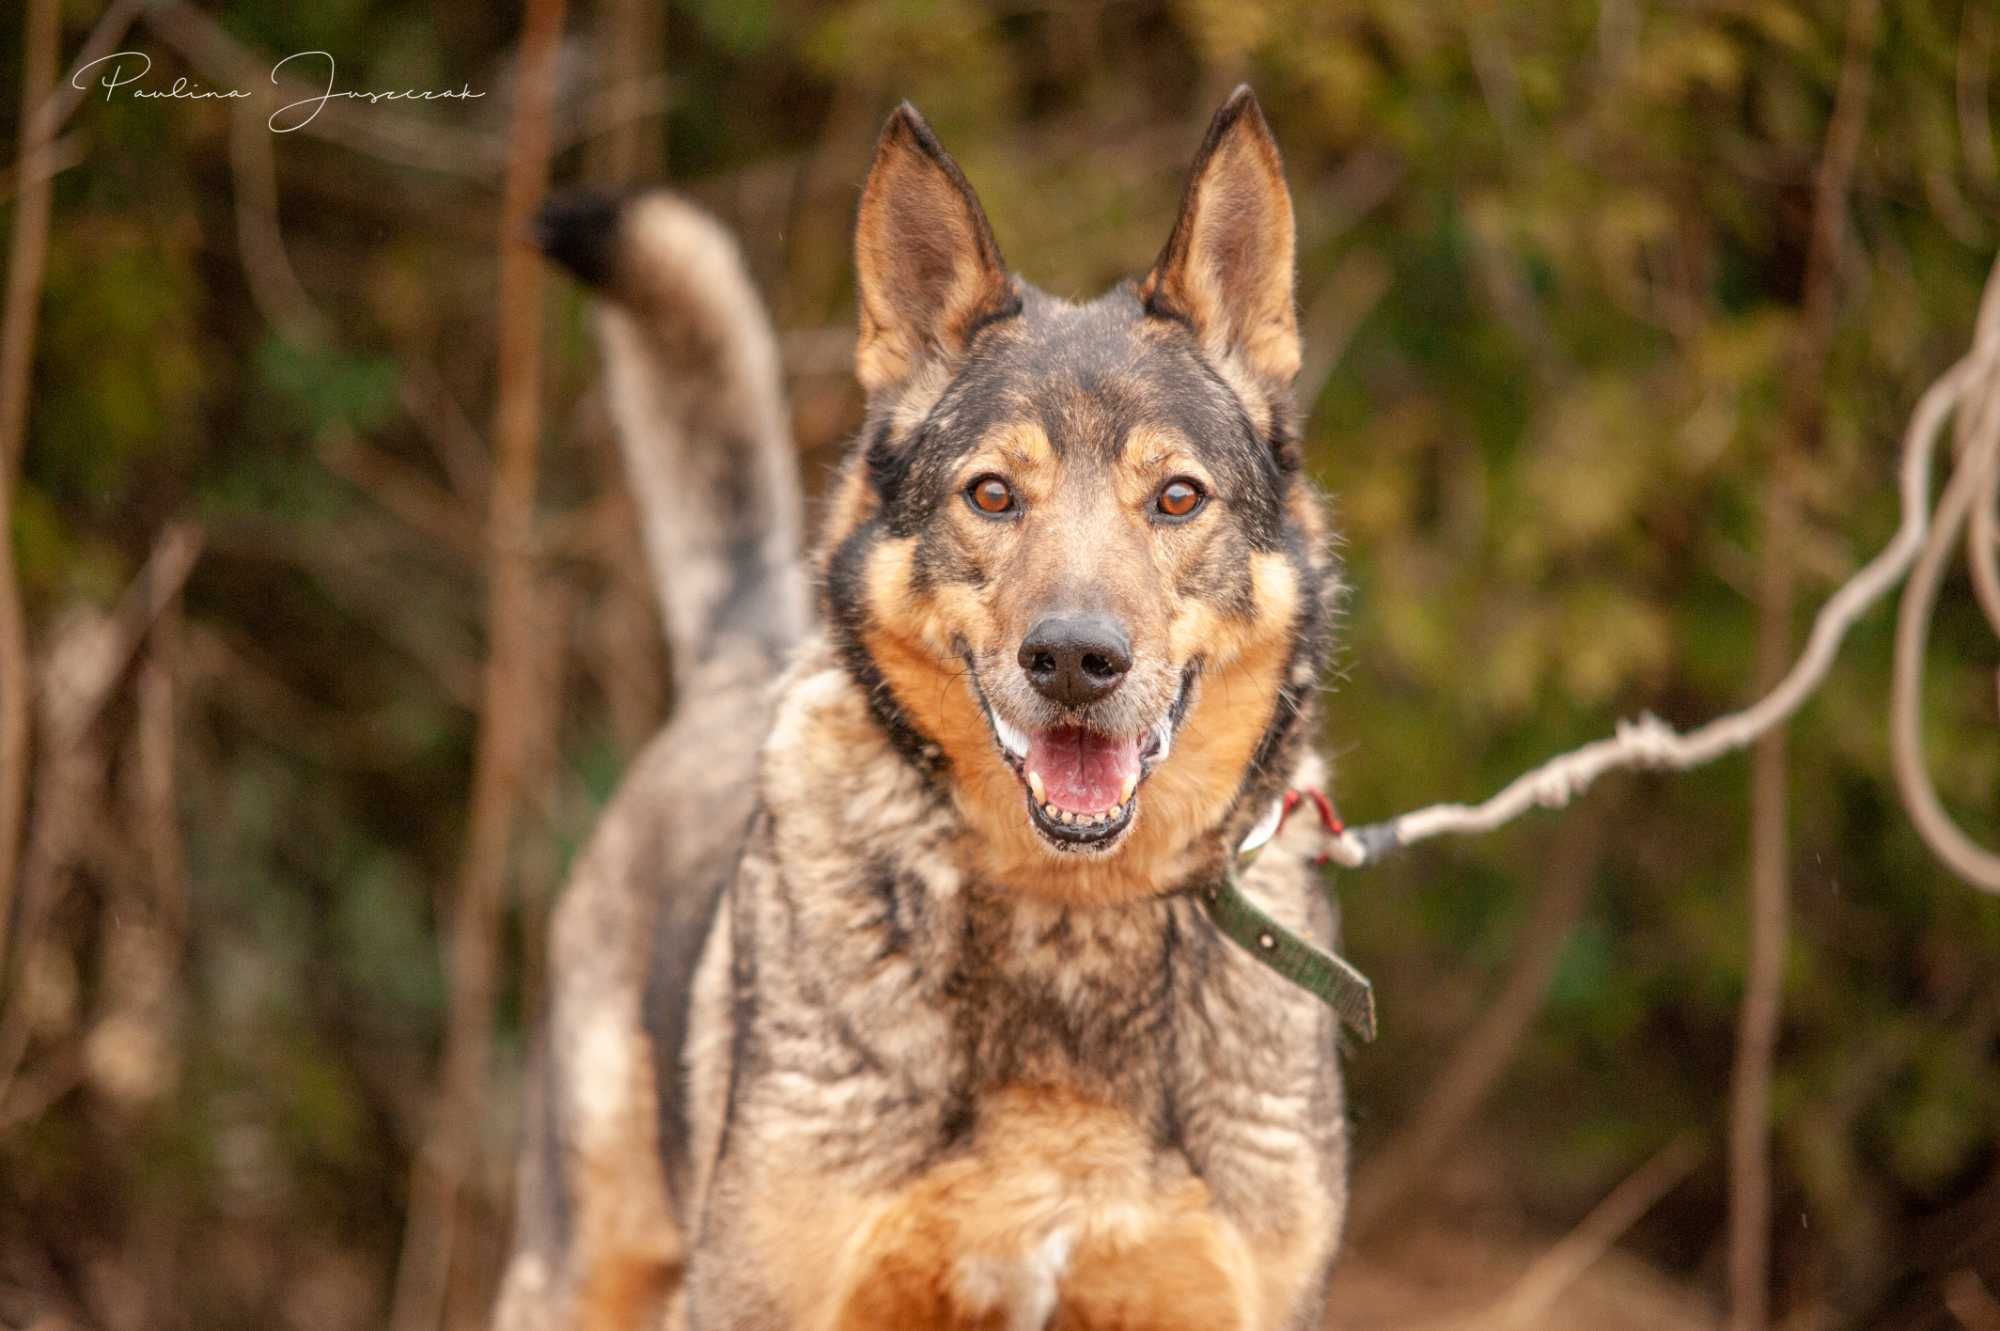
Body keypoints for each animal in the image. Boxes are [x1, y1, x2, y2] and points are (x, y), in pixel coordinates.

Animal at [492, 87, 1352, 1319]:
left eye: (1177, 497)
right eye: (990, 494)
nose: (1075, 658)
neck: (1072, 912)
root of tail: (740, 648)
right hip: (578, 1267)